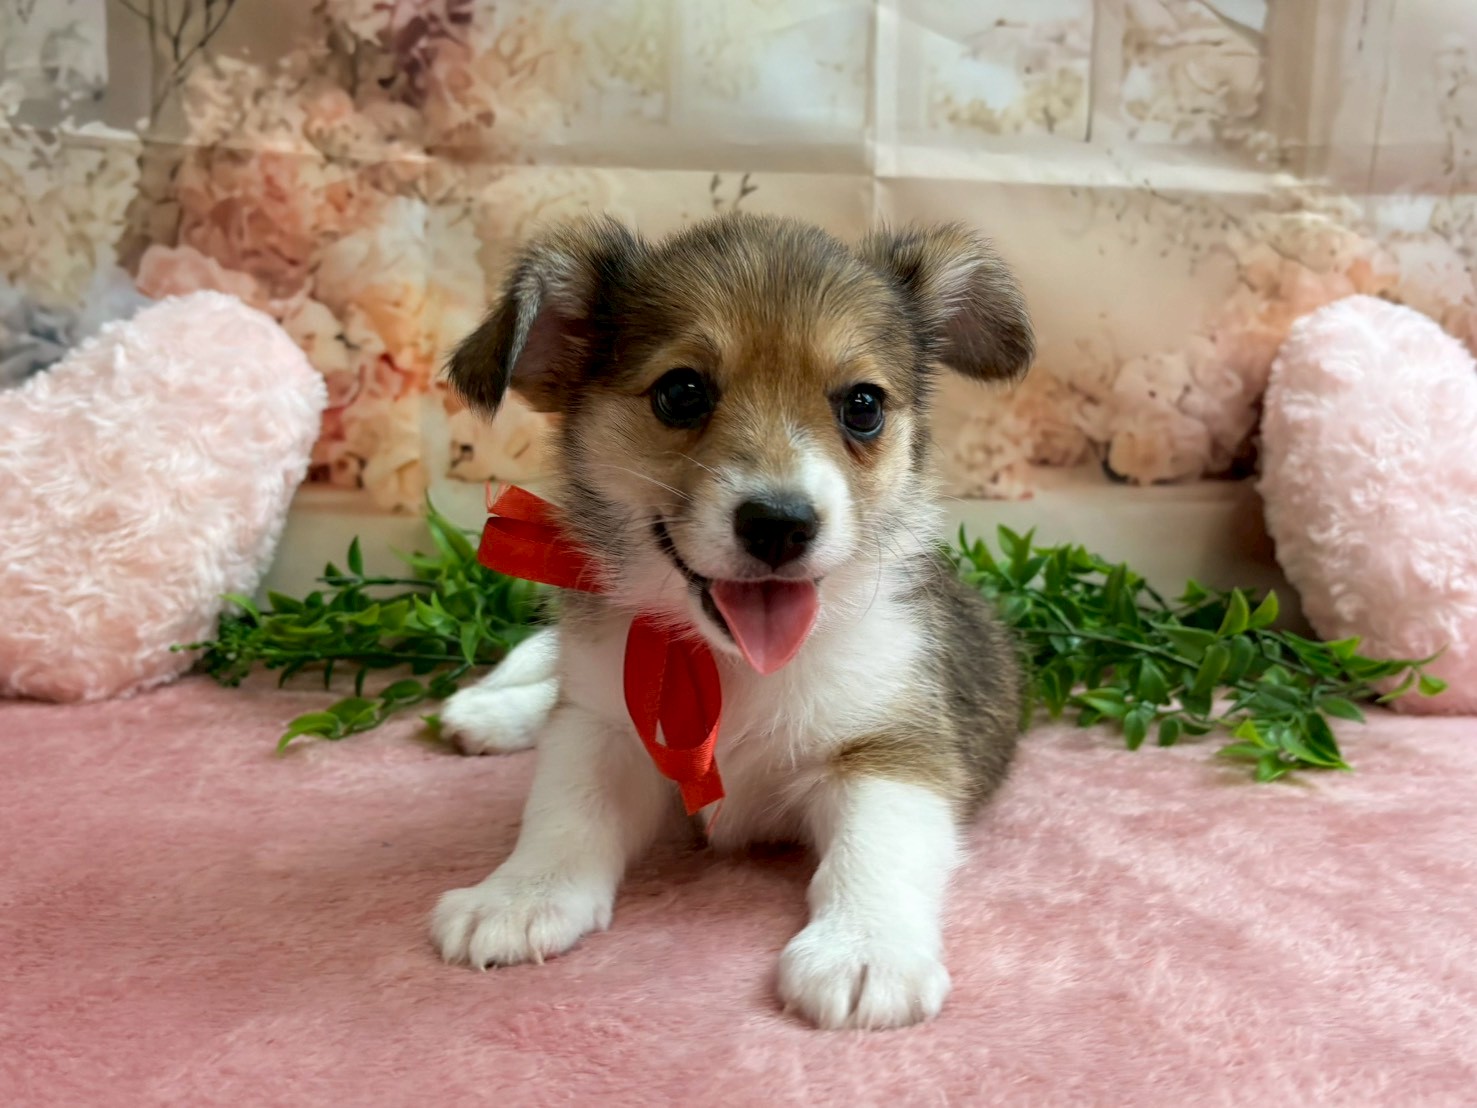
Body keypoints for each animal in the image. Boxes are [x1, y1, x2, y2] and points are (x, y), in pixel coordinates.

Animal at [432, 212, 1032, 1030]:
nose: (780, 525)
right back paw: (488, 711)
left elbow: (876, 847)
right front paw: (519, 896)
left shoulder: (895, 748)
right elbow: (564, 811)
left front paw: (865, 949)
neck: (728, 666)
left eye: (863, 405)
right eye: (681, 392)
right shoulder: (602, 726)